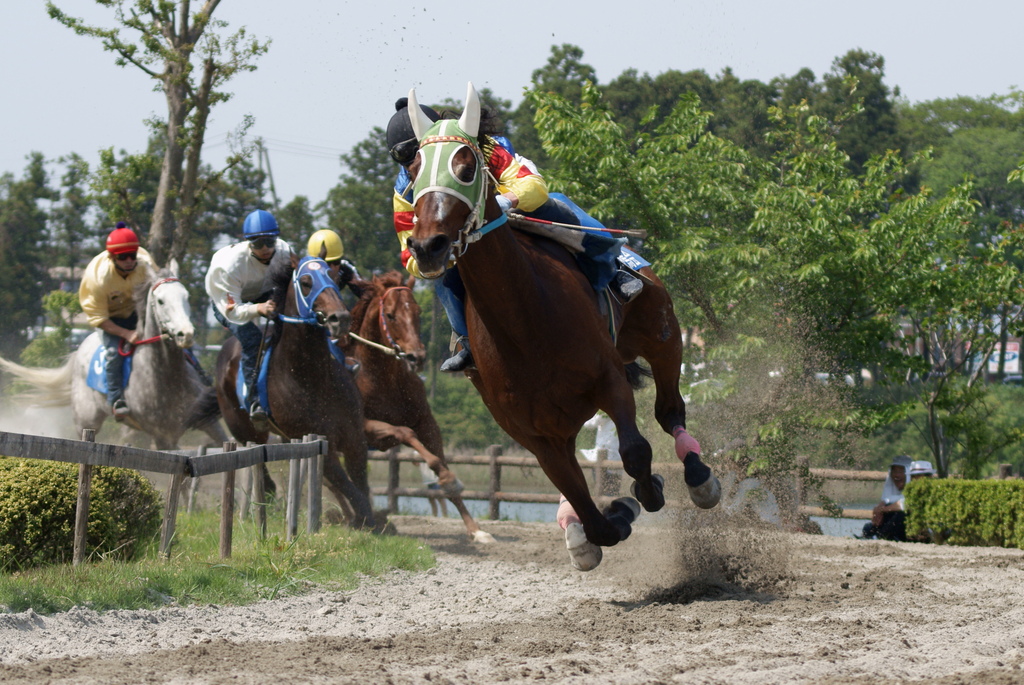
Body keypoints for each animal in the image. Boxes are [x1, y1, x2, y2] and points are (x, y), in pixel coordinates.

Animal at [0, 266, 226, 448]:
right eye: (161, 301)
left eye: (186, 297)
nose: (185, 334)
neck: (168, 379)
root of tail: (80, 347)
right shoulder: (164, 434)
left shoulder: (207, 420)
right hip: (86, 421)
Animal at [346, 270, 493, 540]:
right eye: (390, 315)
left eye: (418, 311)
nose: (417, 356)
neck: (383, 379)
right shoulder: (366, 428)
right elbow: (406, 434)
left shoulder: (426, 422)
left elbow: (439, 459)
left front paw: (475, 529)